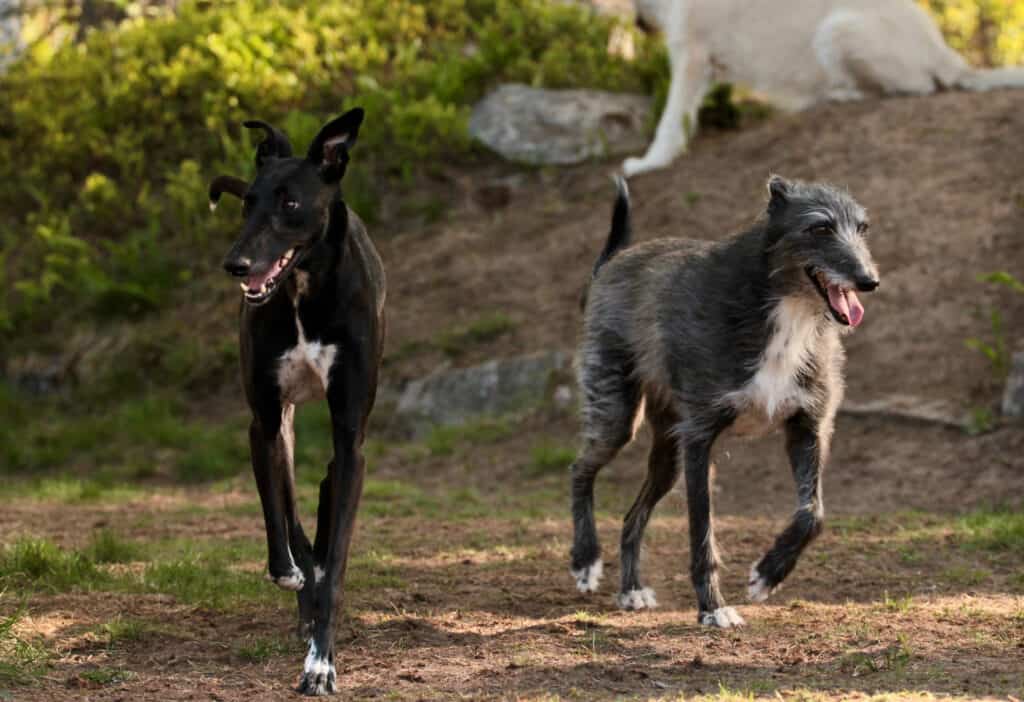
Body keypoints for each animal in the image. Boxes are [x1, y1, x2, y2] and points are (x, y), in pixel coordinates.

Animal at [209, 107, 385, 695]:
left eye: (289, 203)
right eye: (248, 201)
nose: (235, 264)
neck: (305, 289)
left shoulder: (350, 434)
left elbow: (336, 563)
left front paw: (321, 664)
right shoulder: (264, 423)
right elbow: (281, 518)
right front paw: (291, 573)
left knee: (329, 492)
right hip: (279, 427)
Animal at [569, 174, 880, 626]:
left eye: (862, 228)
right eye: (820, 227)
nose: (869, 280)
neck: (784, 310)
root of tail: (613, 262)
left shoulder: (807, 428)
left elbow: (813, 514)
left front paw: (768, 574)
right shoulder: (700, 439)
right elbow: (702, 532)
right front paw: (712, 608)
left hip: (669, 453)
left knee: (631, 517)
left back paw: (630, 589)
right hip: (617, 416)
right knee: (580, 470)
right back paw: (585, 560)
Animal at [622, 0, 1024, 176]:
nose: (638, 23)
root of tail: (944, 50)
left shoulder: (690, 54)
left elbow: (669, 121)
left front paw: (647, 163)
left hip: (836, 29)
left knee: (916, 87)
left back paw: (833, 95)